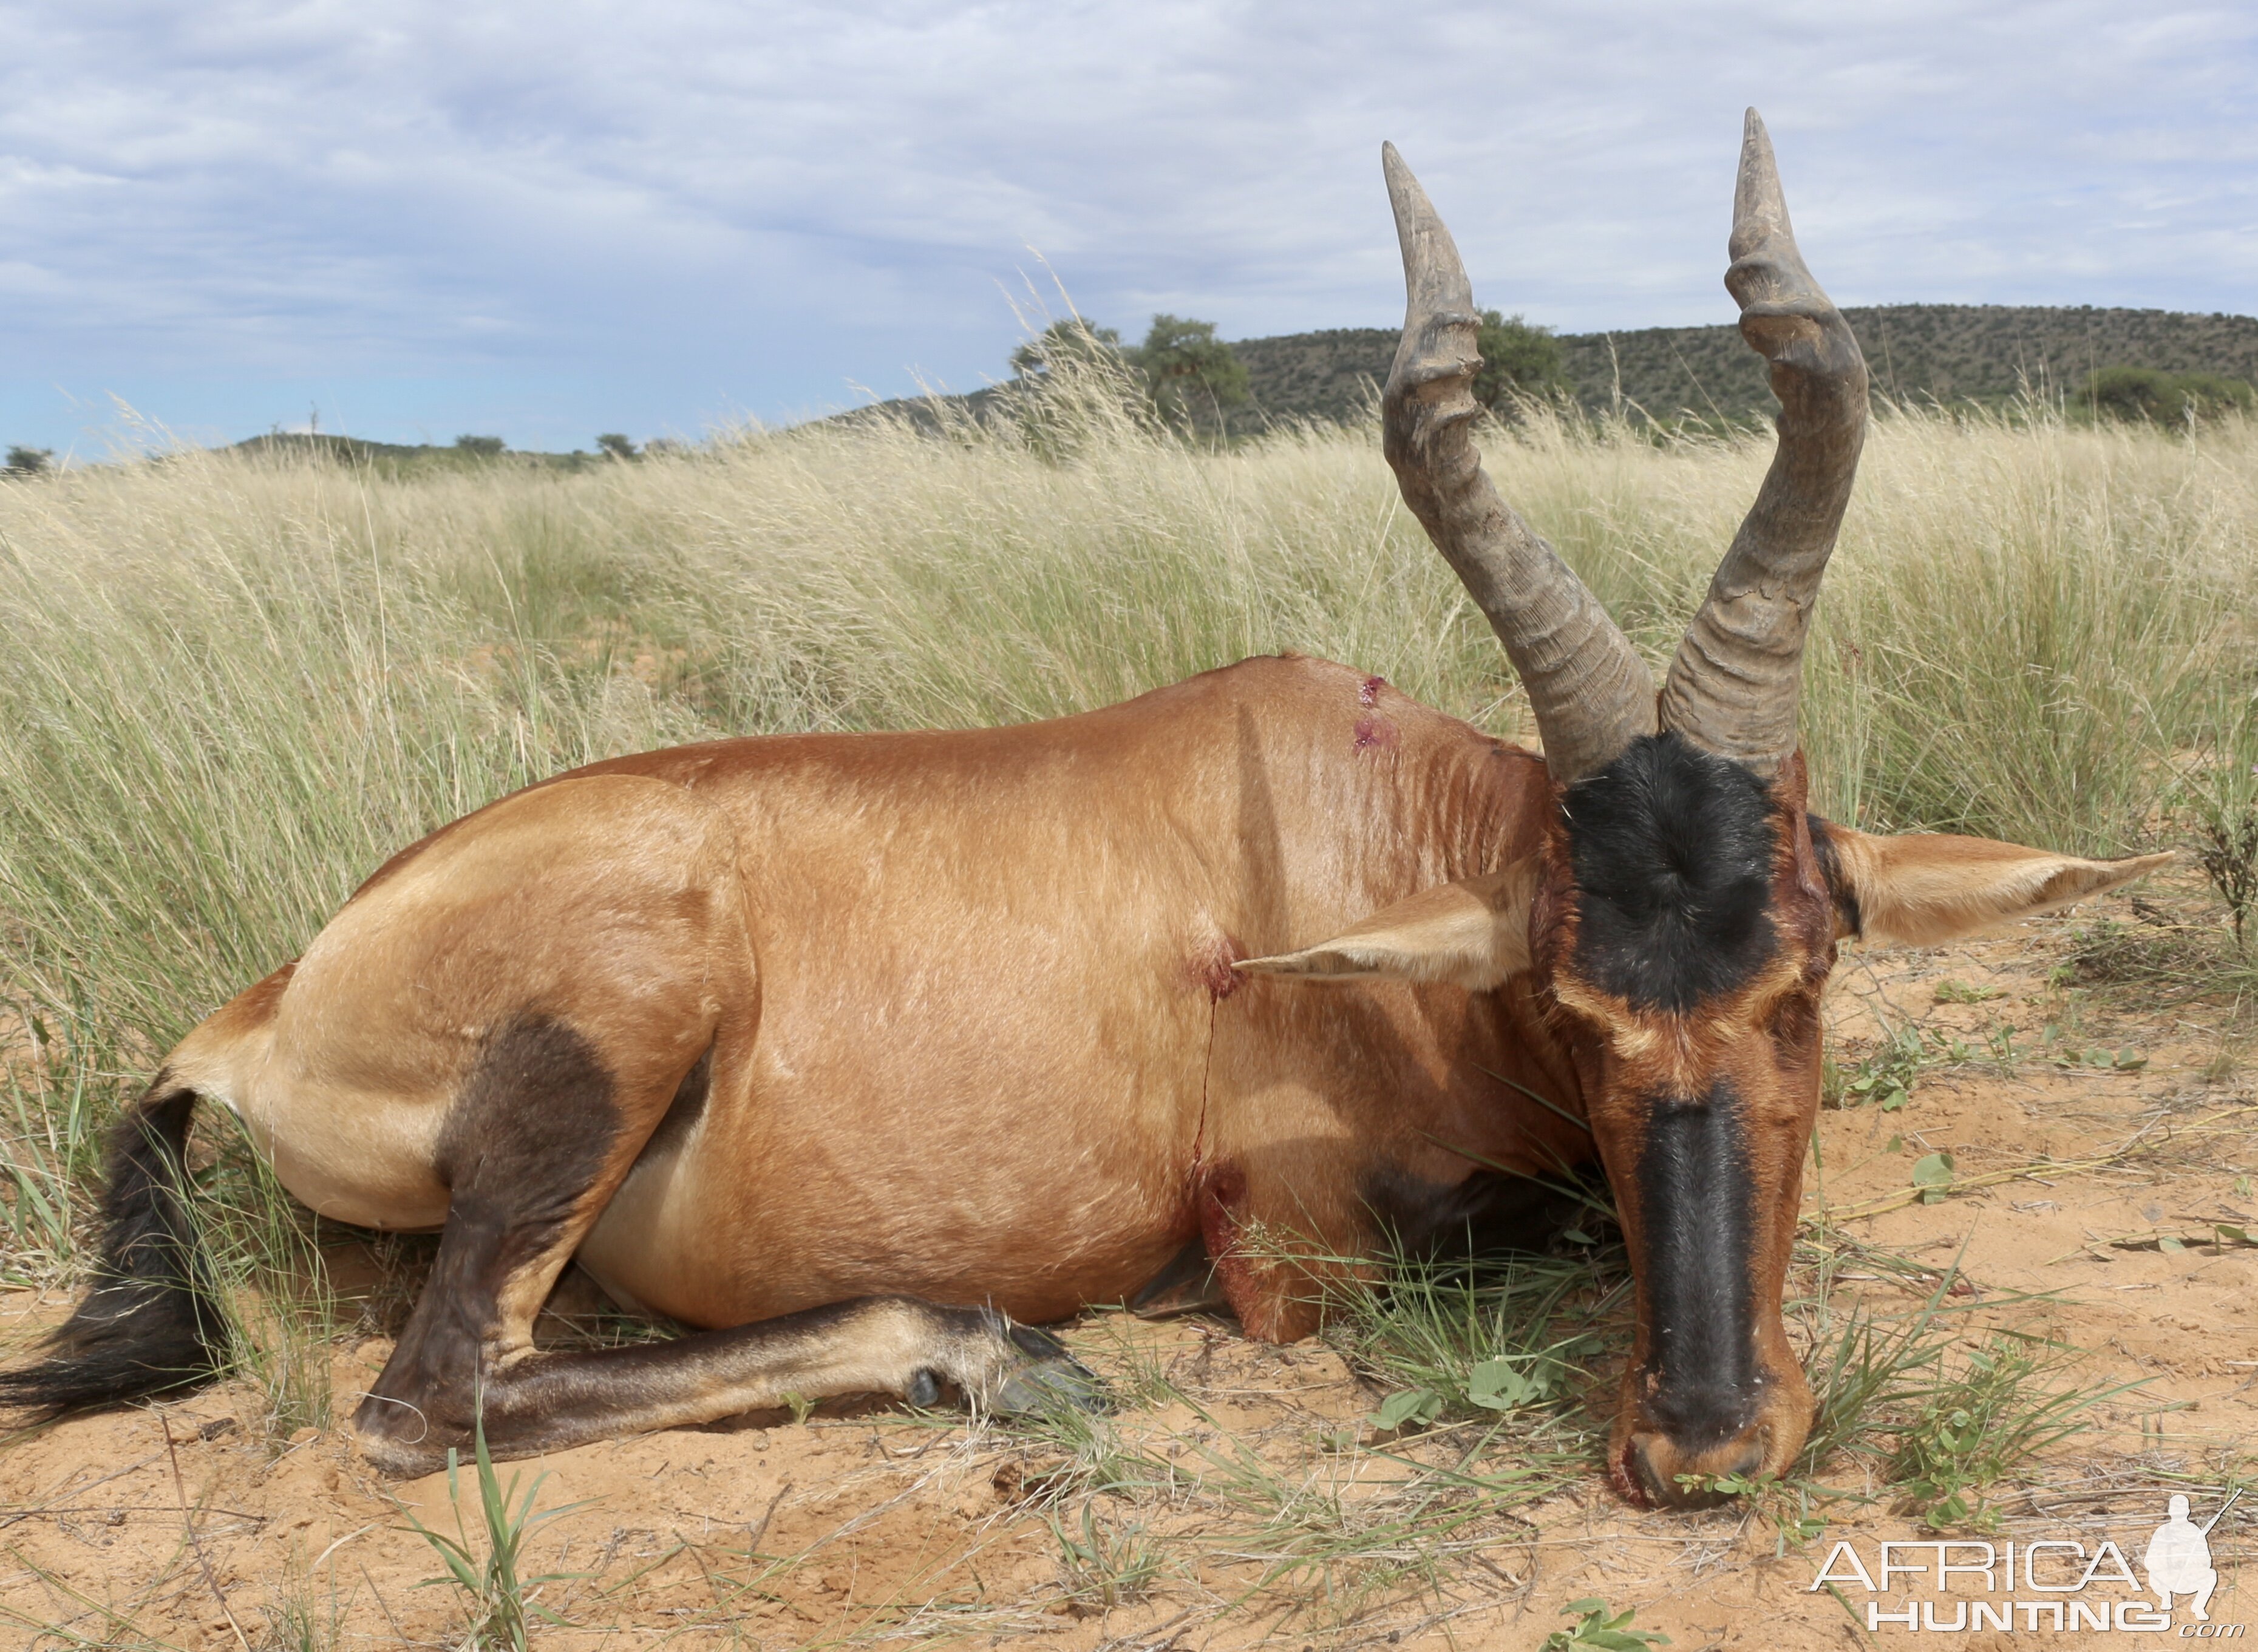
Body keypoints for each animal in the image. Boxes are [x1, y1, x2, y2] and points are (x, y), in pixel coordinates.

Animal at [0, 112, 2158, 1508]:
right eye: (1566, 1004)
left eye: (1805, 978)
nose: (1700, 1444)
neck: (1350, 817)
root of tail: (263, 1002)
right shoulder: (1299, 1256)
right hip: (605, 1038)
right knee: (432, 1395)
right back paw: (989, 1352)